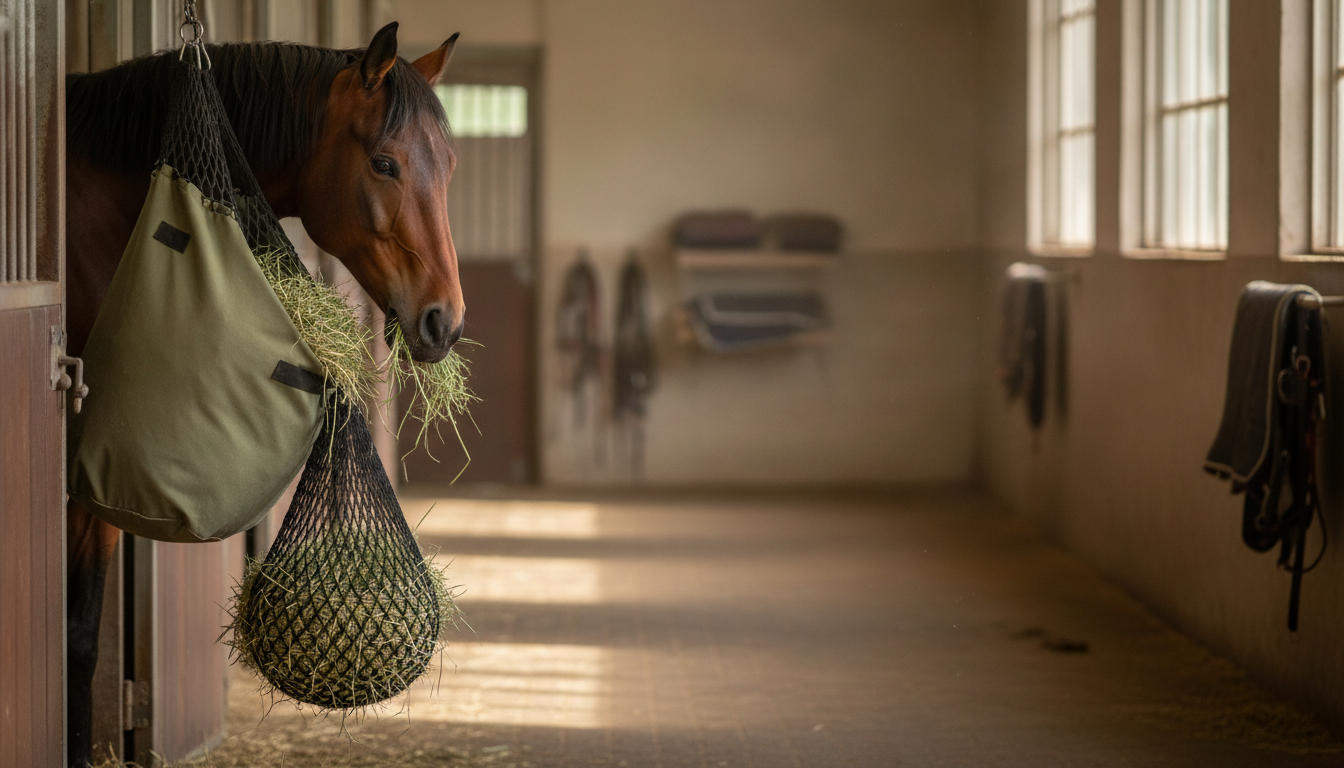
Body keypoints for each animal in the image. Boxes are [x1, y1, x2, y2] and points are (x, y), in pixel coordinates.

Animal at [62, 22, 463, 766]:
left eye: (449, 167)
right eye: (385, 164)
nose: (444, 323)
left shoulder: (101, 472)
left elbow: (81, 629)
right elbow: (70, 627)